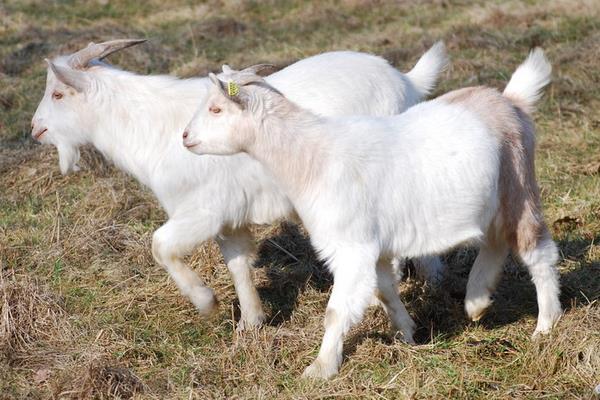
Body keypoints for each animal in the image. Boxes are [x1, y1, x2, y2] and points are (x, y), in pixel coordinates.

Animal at [30, 39, 448, 330]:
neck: (153, 127)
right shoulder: (229, 220)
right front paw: (251, 323)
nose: (35, 130)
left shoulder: (204, 209)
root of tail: (406, 80)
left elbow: (160, 245)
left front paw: (207, 303)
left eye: (58, 93)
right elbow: (237, 265)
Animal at [184, 48, 564, 376]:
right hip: (492, 199)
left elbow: (337, 311)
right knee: (497, 241)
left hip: (518, 185)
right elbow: (384, 291)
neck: (313, 158)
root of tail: (509, 100)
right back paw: (476, 301)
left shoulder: (351, 246)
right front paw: (406, 335)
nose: (185, 137)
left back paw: (545, 325)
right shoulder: (376, 246)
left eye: (216, 109)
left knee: (536, 250)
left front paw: (320, 368)